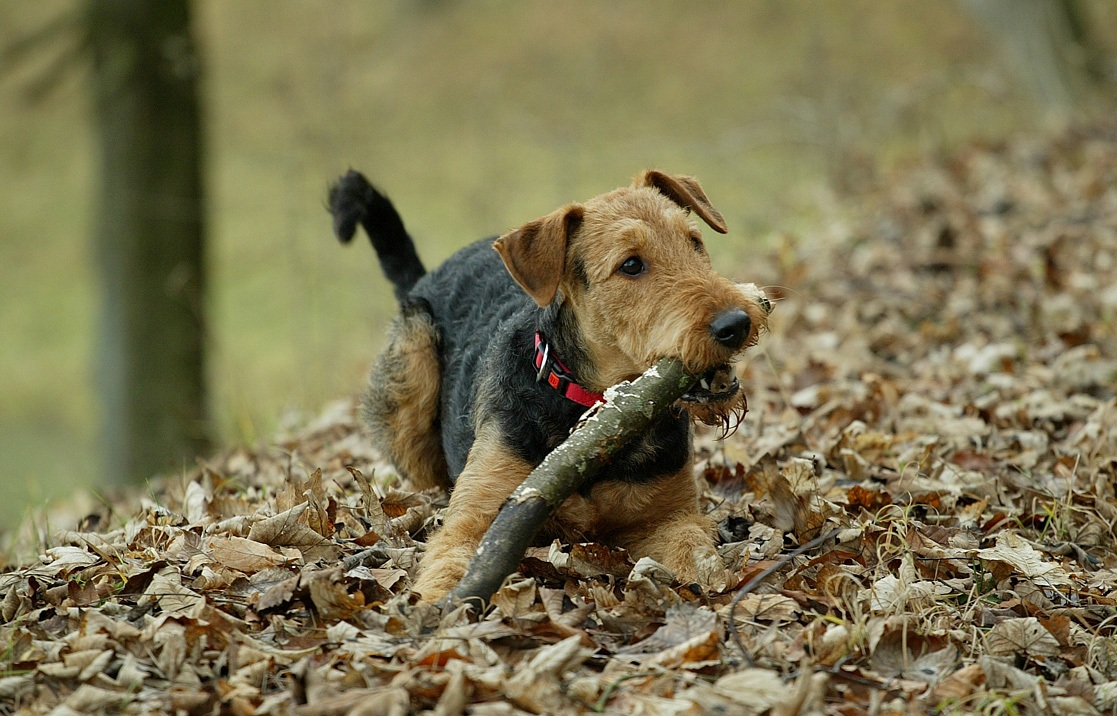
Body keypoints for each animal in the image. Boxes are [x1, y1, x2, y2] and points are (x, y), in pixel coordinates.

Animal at [328, 169, 768, 598]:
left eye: (694, 241)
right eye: (630, 265)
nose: (736, 323)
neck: (599, 415)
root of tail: (428, 275)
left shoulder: (668, 516)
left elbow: (693, 553)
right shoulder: (480, 519)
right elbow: (450, 568)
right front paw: (436, 611)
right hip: (411, 376)